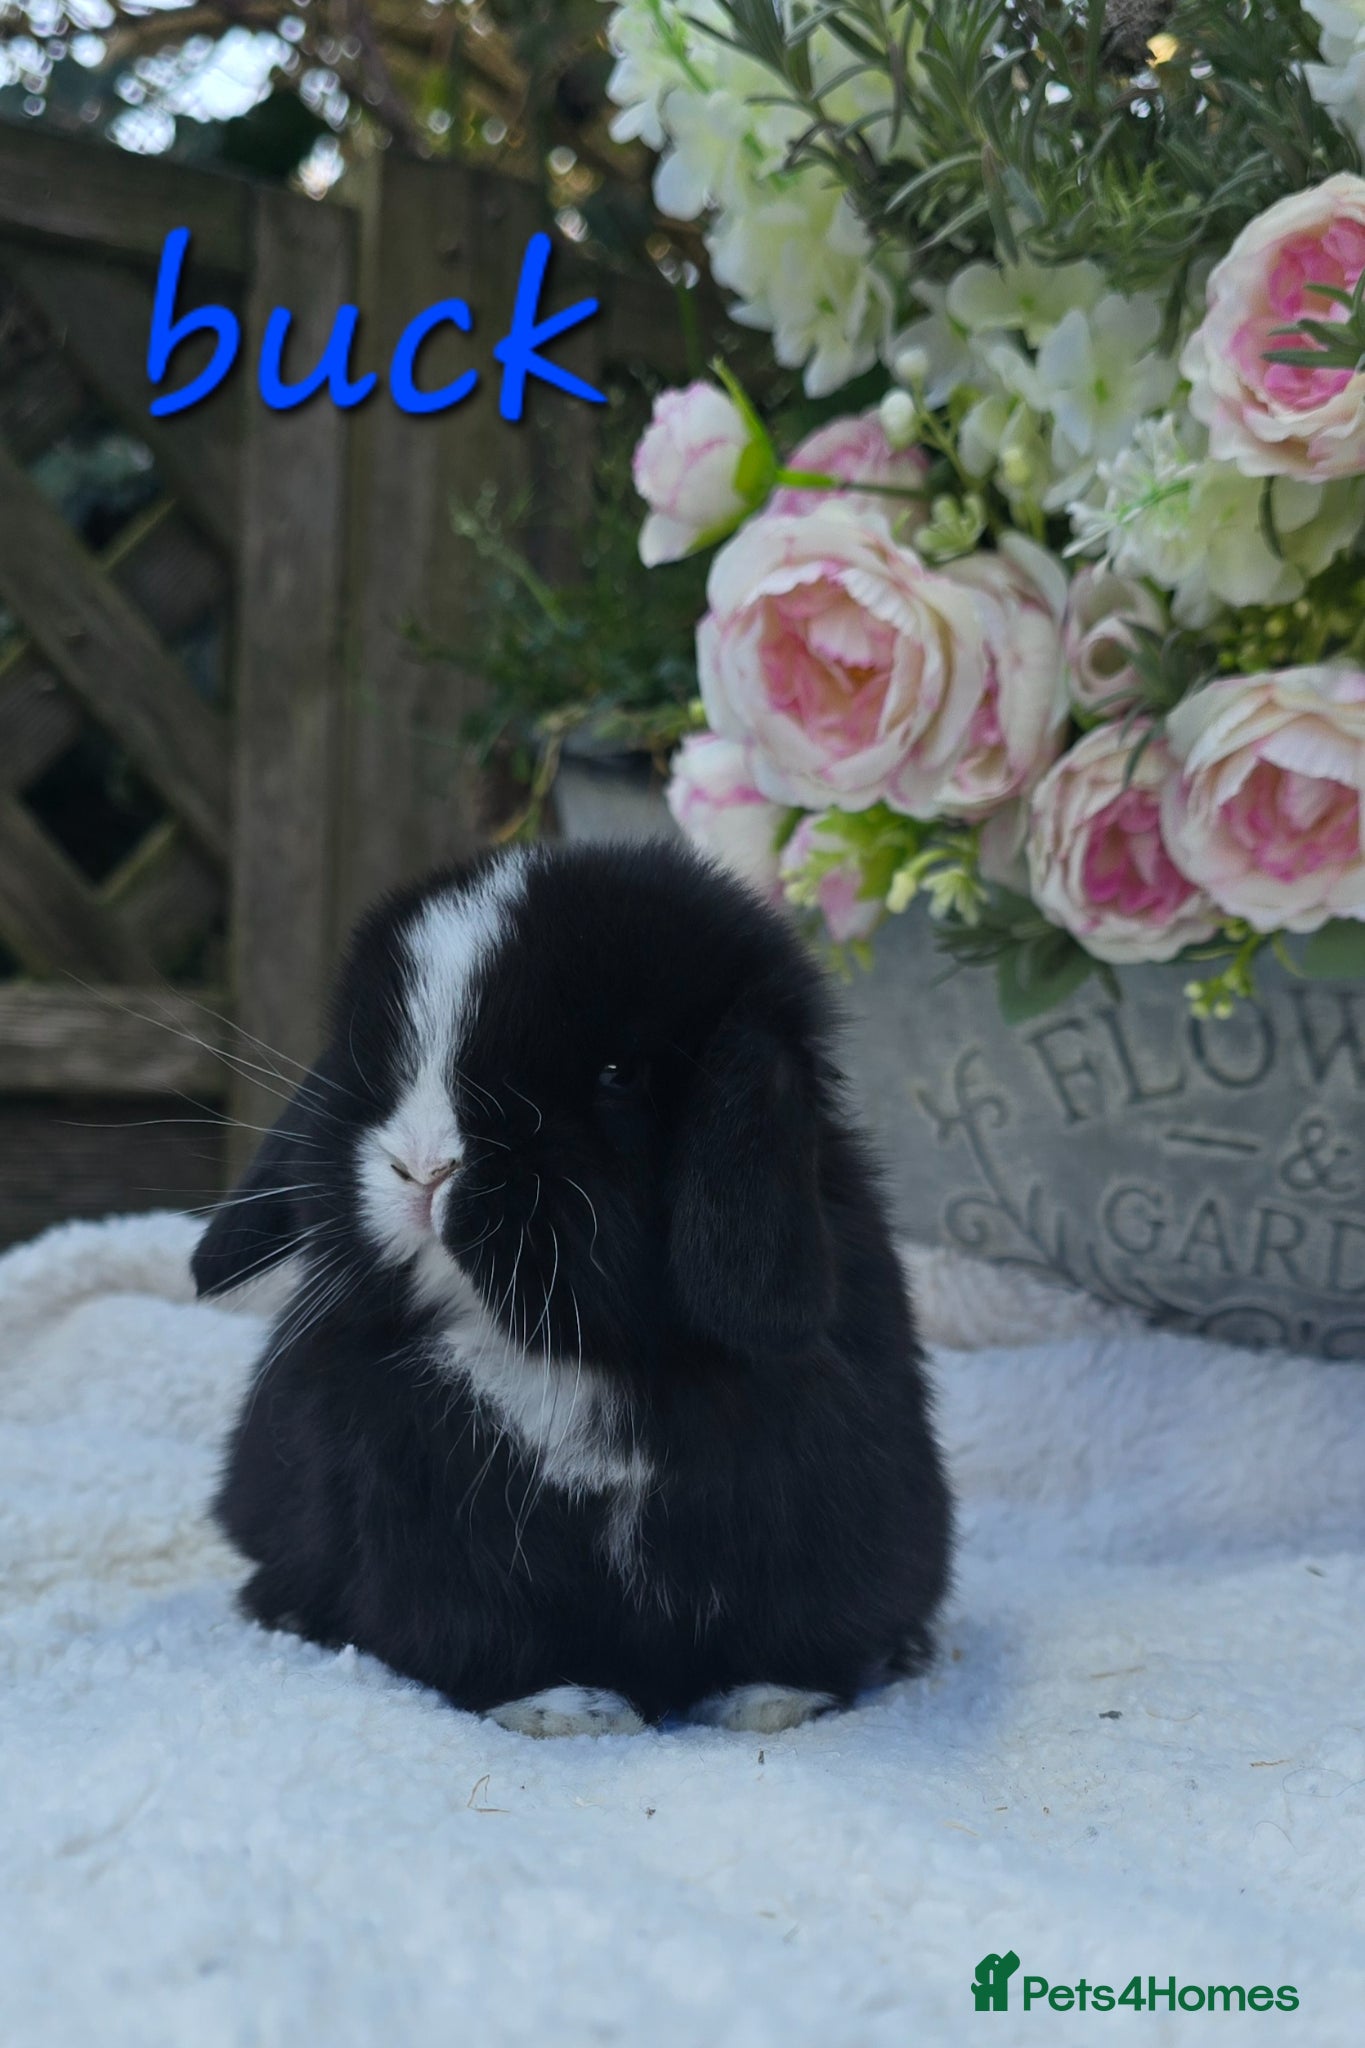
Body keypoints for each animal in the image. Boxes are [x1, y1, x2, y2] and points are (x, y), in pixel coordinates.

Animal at [194, 839, 952, 1737]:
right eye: (380, 1067)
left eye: (617, 1073)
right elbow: (486, 1633)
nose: (422, 1167)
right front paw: (565, 1710)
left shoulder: (814, 1507)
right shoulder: (439, 1538)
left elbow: (796, 1626)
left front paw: (773, 1703)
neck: (574, 1357)